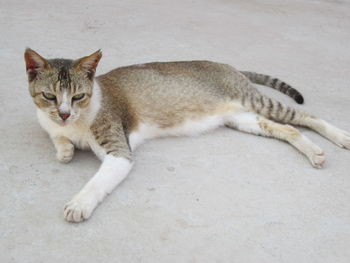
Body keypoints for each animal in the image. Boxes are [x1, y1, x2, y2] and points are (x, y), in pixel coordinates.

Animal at [23, 48, 348, 223]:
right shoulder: (50, 124)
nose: (64, 114)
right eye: (49, 96)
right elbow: (58, 140)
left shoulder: (119, 151)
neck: (73, 124)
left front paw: (79, 204)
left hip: (256, 102)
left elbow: (96, 182)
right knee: (287, 128)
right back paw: (314, 152)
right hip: (242, 119)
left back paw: (340, 137)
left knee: (306, 117)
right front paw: (64, 149)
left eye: (78, 96)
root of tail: (228, 65)